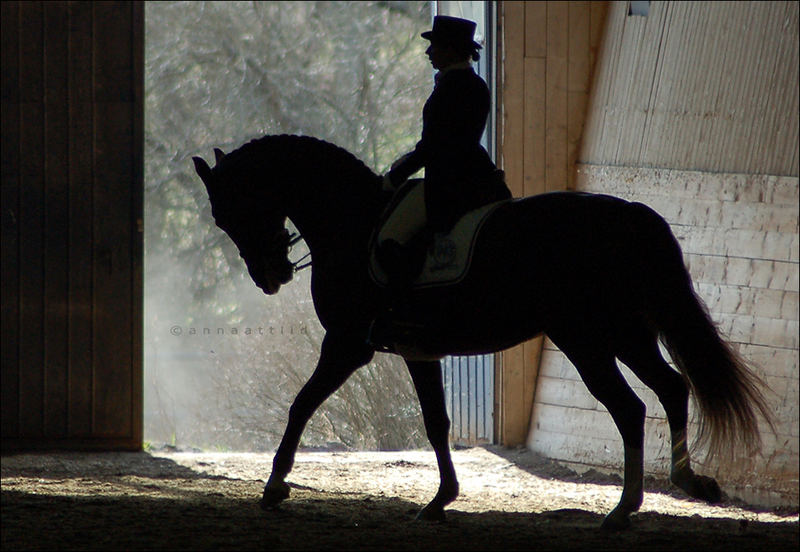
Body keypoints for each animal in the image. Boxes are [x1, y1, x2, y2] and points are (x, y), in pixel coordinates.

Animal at [191, 134, 772, 532]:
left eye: (229, 211)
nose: (270, 278)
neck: (352, 224)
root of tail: (627, 215)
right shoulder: (417, 352)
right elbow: (436, 423)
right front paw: (441, 498)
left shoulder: (348, 345)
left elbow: (300, 405)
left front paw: (274, 486)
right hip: (624, 333)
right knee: (672, 388)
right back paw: (685, 483)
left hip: (586, 339)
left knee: (630, 408)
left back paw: (622, 510)